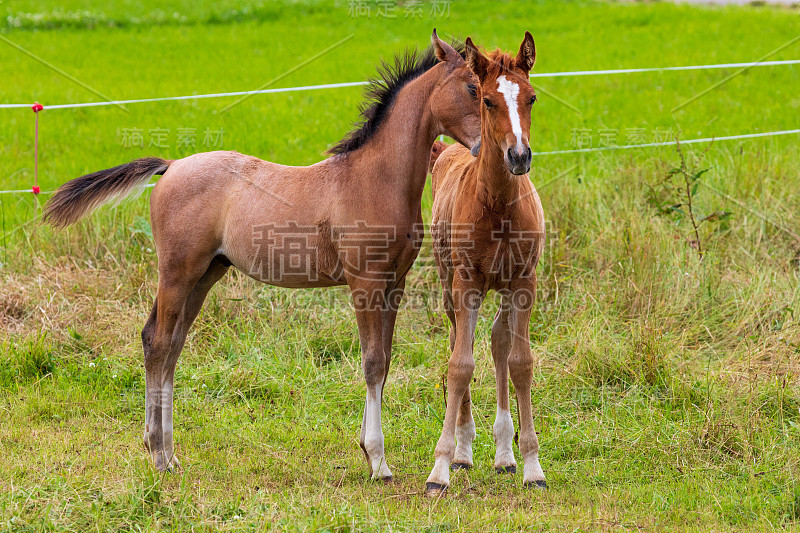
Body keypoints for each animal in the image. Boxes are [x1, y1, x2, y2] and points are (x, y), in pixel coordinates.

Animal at [45, 31, 482, 480]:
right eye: (474, 88)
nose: (496, 149)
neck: (373, 178)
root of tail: (171, 165)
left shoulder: (395, 281)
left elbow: (386, 359)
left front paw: (367, 449)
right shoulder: (365, 281)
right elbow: (373, 362)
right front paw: (377, 461)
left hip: (206, 273)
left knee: (174, 345)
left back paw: (170, 454)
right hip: (177, 271)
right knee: (158, 341)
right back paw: (157, 453)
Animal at [422, 31, 548, 492]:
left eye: (531, 97)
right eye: (488, 100)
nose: (519, 157)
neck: (496, 206)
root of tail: (446, 152)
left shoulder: (525, 282)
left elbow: (520, 362)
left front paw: (531, 465)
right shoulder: (466, 283)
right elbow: (459, 365)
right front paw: (440, 467)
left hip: (503, 287)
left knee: (497, 342)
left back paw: (504, 454)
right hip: (450, 285)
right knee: (460, 340)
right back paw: (463, 451)